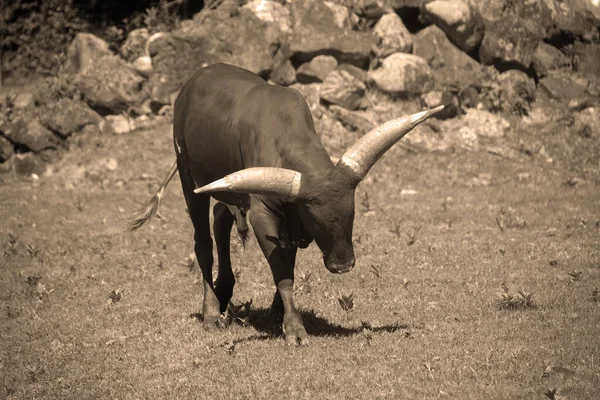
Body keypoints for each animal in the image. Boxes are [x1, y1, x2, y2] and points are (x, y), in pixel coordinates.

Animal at [126, 64, 442, 346]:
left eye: (352, 213)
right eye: (315, 218)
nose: (342, 265)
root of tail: (193, 81)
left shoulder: (289, 222)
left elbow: (287, 261)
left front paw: (278, 311)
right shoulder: (263, 214)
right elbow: (282, 270)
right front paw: (294, 329)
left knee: (221, 217)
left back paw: (224, 289)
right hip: (188, 176)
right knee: (202, 242)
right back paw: (211, 312)